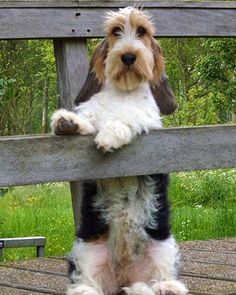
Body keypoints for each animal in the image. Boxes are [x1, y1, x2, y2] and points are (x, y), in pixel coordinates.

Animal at [50, 6, 188, 295]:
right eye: (115, 31)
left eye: (142, 32)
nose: (128, 56)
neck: (123, 91)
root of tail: (125, 275)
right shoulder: (94, 113)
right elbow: (89, 120)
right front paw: (66, 122)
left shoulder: (148, 119)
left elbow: (128, 117)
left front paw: (110, 135)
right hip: (86, 249)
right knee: (87, 282)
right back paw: (87, 290)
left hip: (163, 246)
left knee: (159, 279)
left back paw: (165, 286)